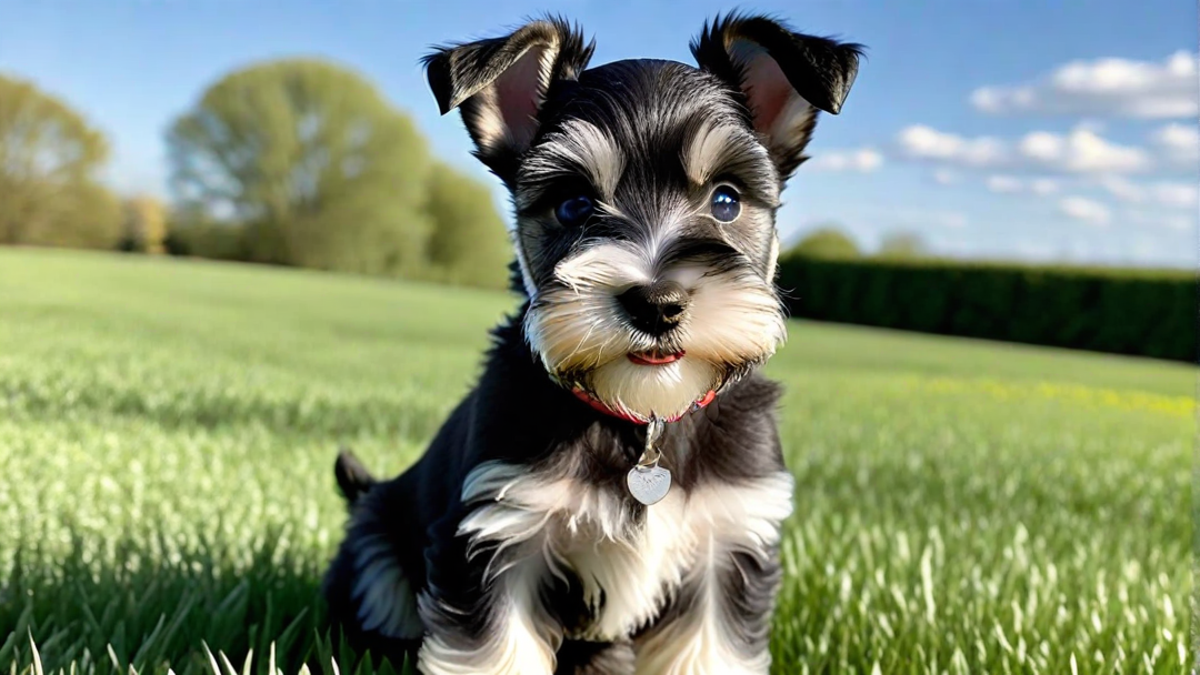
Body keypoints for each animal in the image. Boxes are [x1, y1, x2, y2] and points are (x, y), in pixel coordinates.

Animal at [324, 11, 859, 672]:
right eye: (574, 204)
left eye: (726, 200)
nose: (657, 301)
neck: (642, 417)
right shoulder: (498, 536)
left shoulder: (726, 544)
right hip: (375, 539)